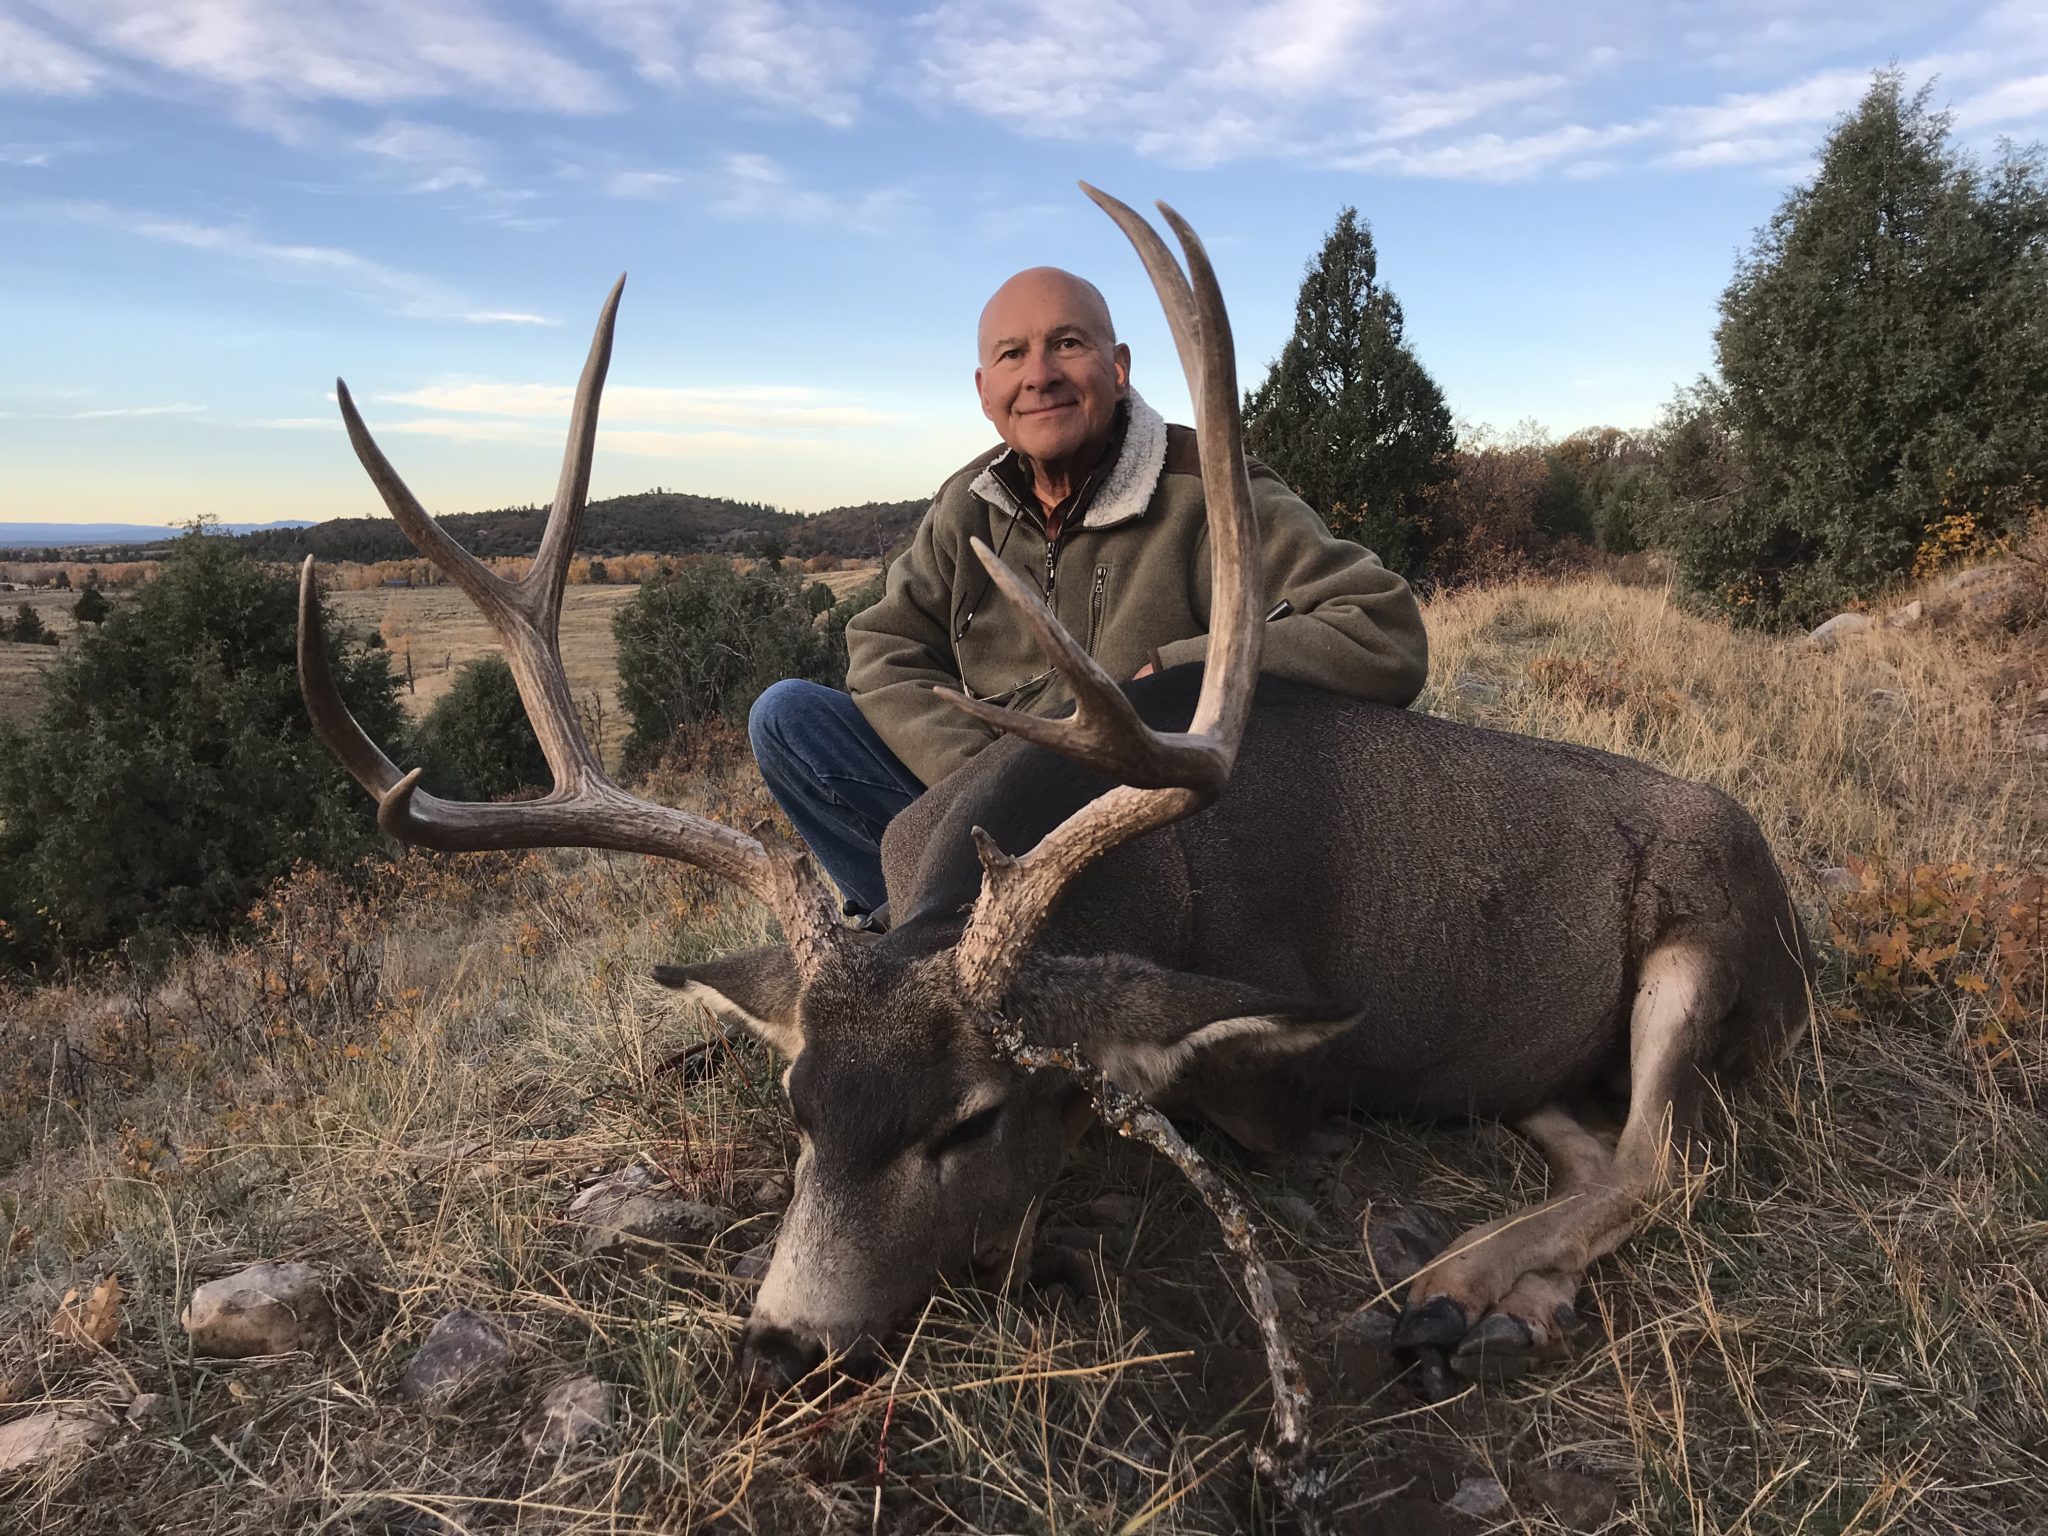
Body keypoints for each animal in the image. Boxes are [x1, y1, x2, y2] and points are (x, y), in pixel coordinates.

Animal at [296, 187, 1813, 1397]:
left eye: (968, 1122)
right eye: (798, 1108)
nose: (780, 1347)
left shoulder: (1277, 1079)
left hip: (1711, 936)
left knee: (1664, 1155)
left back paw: (1457, 1289)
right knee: (1591, 1134)